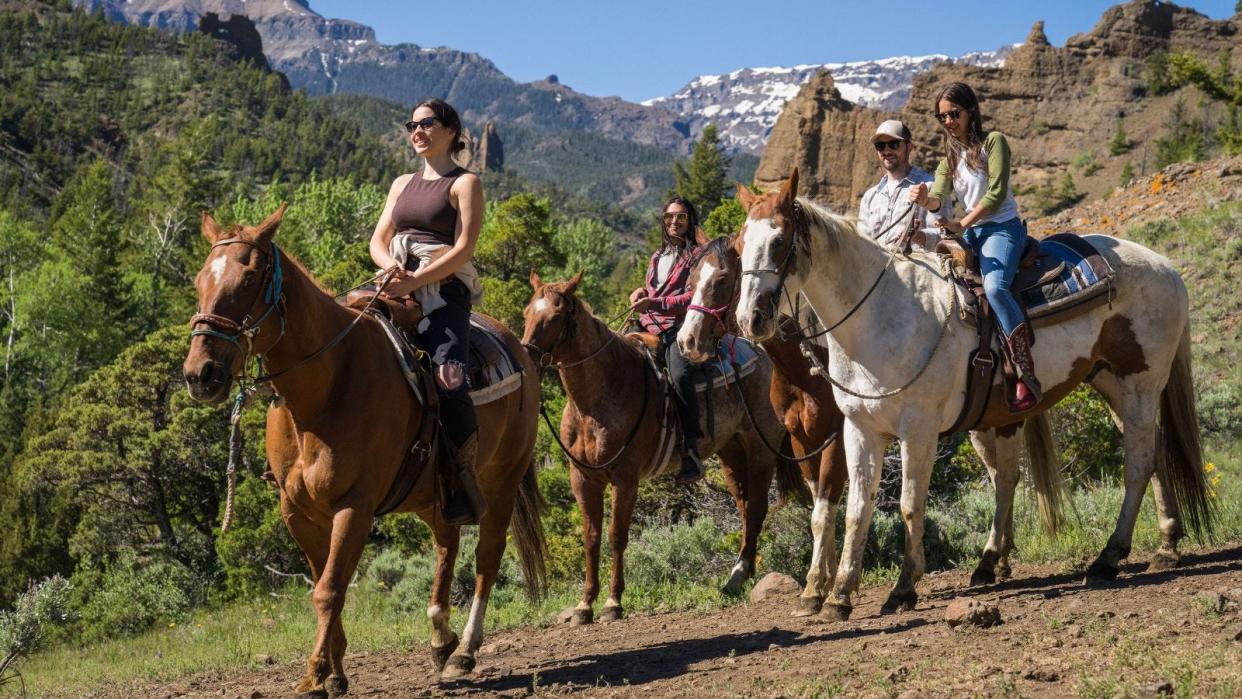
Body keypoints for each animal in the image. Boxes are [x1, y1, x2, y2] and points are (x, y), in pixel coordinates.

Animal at [185, 203, 548, 695]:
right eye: (200, 280)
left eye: (249, 280)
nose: (200, 374)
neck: (324, 388)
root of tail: (518, 346)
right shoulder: (298, 513)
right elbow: (324, 585)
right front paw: (335, 674)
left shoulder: (353, 507)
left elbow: (329, 590)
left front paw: (315, 674)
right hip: (433, 494)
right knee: (446, 544)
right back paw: (441, 638)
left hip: (502, 481)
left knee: (486, 557)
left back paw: (465, 652)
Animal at [680, 234, 1068, 613]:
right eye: (691, 279)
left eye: (722, 279)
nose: (688, 341)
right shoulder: (804, 442)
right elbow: (821, 512)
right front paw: (822, 583)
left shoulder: (838, 440)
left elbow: (830, 506)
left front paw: (824, 585)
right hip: (985, 423)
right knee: (1004, 477)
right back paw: (997, 561)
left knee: (1006, 478)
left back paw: (990, 561)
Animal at [730, 172, 1207, 620]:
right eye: (738, 245)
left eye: (779, 240)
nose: (750, 318)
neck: (879, 316)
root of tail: (1164, 265)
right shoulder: (859, 430)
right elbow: (856, 509)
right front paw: (839, 596)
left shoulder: (918, 430)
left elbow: (909, 505)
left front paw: (903, 589)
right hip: (1109, 386)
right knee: (1147, 455)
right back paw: (1164, 544)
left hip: (1139, 385)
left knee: (1138, 464)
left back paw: (1109, 557)